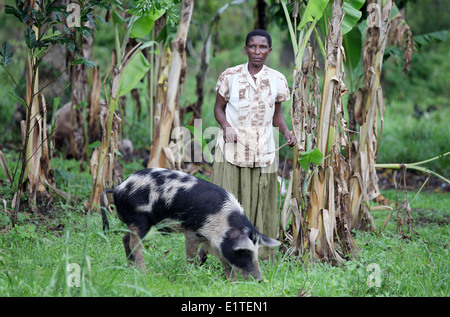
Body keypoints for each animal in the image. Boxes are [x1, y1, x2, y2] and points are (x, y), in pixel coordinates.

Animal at [100, 167, 280, 280]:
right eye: (245, 253)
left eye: (256, 252)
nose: (259, 279)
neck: (224, 225)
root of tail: (118, 188)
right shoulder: (192, 232)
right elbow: (191, 256)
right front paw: (189, 275)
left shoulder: (215, 241)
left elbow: (225, 261)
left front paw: (232, 282)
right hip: (140, 218)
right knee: (135, 244)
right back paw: (145, 273)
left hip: (136, 222)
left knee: (125, 239)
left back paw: (130, 268)